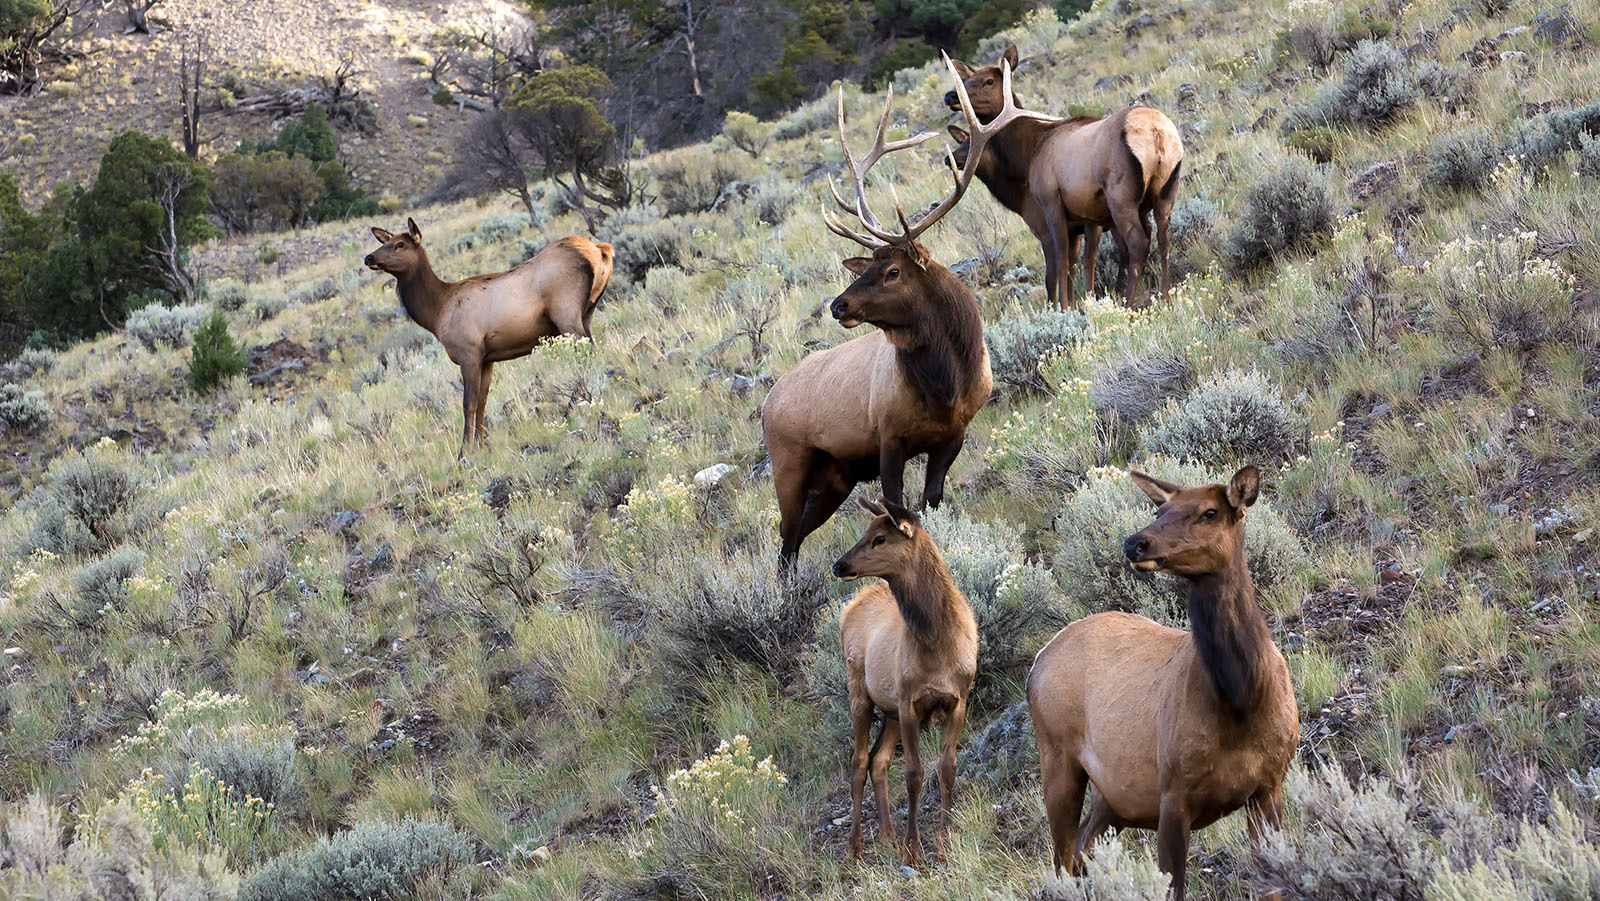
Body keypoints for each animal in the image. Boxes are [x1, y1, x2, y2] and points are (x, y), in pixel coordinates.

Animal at [366, 219, 614, 457]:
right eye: (385, 242)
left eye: (400, 244)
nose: (368, 257)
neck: (437, 313)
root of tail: (599, 251)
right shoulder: (487, 358)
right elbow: (482, 402)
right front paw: (483, 446)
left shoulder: (469, 351)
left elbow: (468, 403)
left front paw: (464, 451)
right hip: (587, 311)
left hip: (566, 311)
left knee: (586, 355)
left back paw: (573, 407)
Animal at [755, 54, 1056, 569]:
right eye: (871, 266)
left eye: (893, 270)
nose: (838, 304)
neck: (944, 386)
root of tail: (768, 401)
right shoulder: (888, 438)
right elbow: (895, 504)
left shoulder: (955, 434)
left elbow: (931, 501)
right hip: (789, 463)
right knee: (786, 542)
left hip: (836, 476)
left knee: (791, 539)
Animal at [832, 499, 979, 864]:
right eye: (866, 531)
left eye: (880, 538)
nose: (838, 565)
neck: (938, 646)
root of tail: (851, 605)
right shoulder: (909, 702)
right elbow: (914, 775)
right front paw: (913, 851)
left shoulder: (958, 699)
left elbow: (947, 768)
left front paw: (943, 843)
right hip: (861, 691)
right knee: (858, 762)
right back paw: (855, 845)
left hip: (890, 712)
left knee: (879, 761)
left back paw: (888, 837)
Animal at [940, 45, 1184, 310]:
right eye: (968, 79)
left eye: (988, 81)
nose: (950, 96)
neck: (1028, 155)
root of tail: (1156, 133)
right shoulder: (1086, 216)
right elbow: (1078, 264)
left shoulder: (1051, 205)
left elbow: (1059, 267)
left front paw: (1063, 308)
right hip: (1166, 190)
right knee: (1163, 238)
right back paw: (1166, 297)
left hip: (1121, 197)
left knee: (1138, 243)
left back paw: (1129, 305)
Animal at [1024, 470, 1299, 896]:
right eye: (1160, 510)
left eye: (1210, 512)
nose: (1135, 542)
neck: (1242, 701)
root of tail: (1038, 659)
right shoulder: (1173, 792)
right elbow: (1174, 887)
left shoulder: (1270, 786)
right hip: (1056, 757)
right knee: (1063, 862)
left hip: (1113, 797)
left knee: (1083, 850)